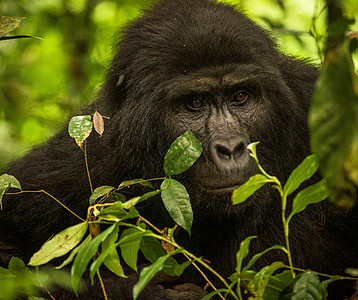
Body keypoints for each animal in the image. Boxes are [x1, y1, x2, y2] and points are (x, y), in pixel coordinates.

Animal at [0, 0, 358, 298]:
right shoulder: (76, 162)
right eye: (194, 103)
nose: (231, 147)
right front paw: (142, 291)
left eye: (241, 97)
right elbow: (13, 257)